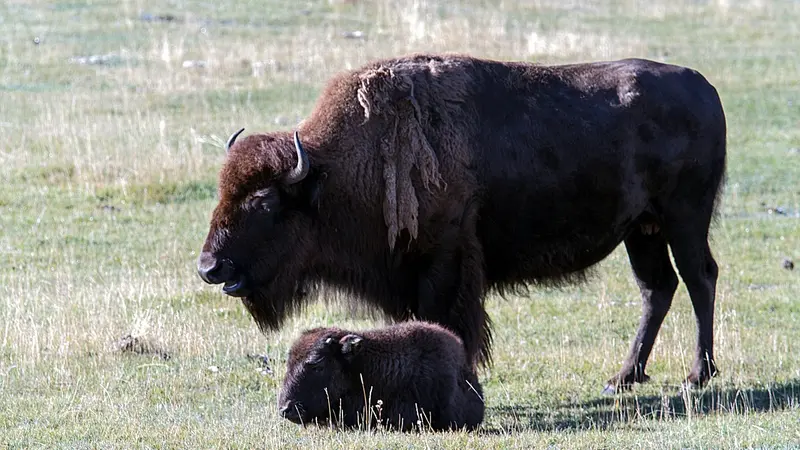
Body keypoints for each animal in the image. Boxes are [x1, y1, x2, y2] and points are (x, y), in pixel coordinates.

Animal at [197, 53, 727, 393]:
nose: (209, 267)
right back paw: (624, 377)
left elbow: (449, 323)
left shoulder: (444, 263)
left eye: (265, 203)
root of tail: (705, 86)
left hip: (683, 218)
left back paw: (698, 375)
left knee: (699, 277)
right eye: (223, 192)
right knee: (657, 288)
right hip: (642, 231)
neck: (342, 169)